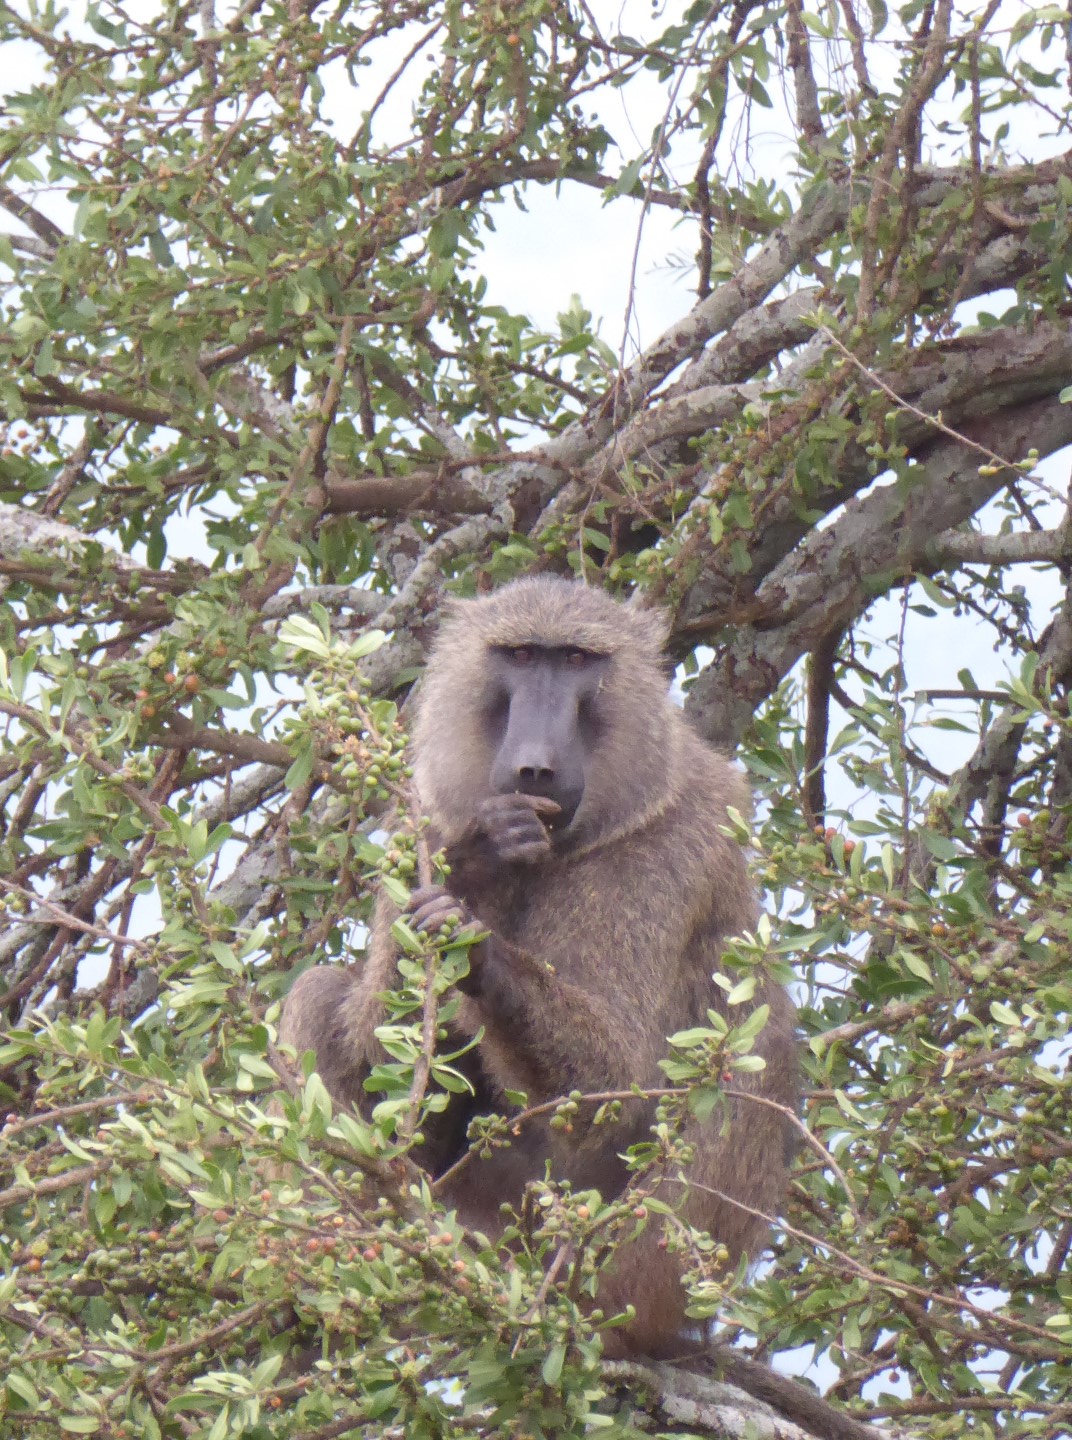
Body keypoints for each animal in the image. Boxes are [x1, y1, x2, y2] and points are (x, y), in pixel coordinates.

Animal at [280, 575, 798, 1359]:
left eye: (578, 660)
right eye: (521, 655)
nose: (535, 767)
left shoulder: (669, 853)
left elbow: (613, 1083)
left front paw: (477, 948)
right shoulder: (418, 820)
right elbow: (381, 1051)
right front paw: (479, 860)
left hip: (625, 1264)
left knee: (737, 1062)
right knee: (316, 993)